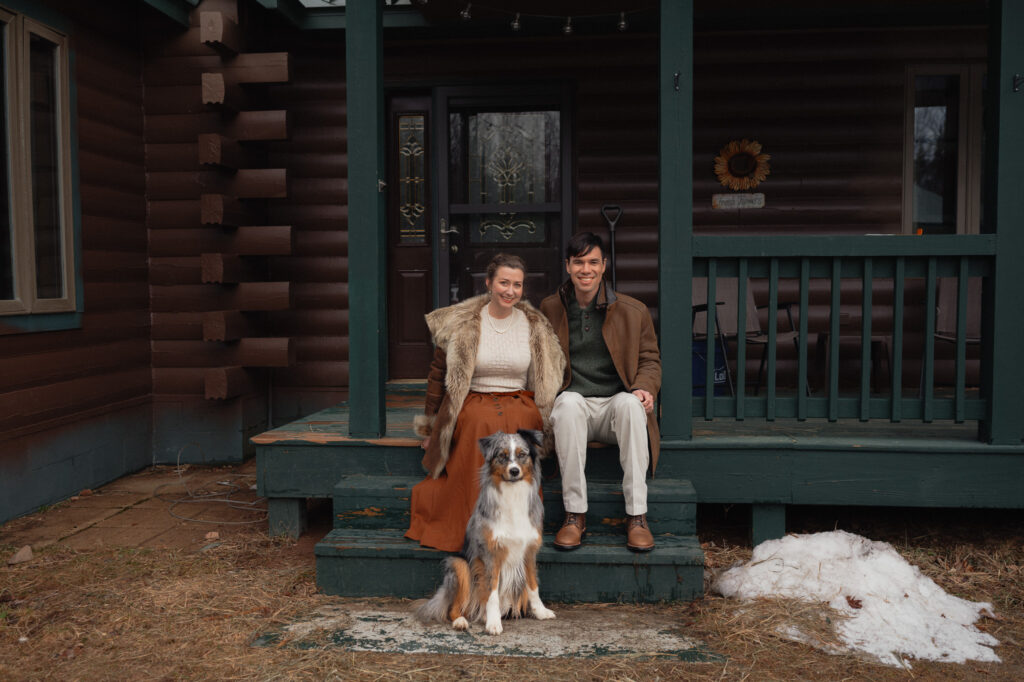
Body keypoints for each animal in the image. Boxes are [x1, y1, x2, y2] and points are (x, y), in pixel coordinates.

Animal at [413, 430, 557, 630]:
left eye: (522, 454)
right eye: (502, 455)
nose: (514, 471)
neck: (513, 494)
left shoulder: (529, 550)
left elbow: (533, 585)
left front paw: (541, 611)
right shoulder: (490, 553)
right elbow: (492, 592)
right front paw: (493, 623)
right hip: (459, 565)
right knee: (455, 607)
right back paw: (461, 620)